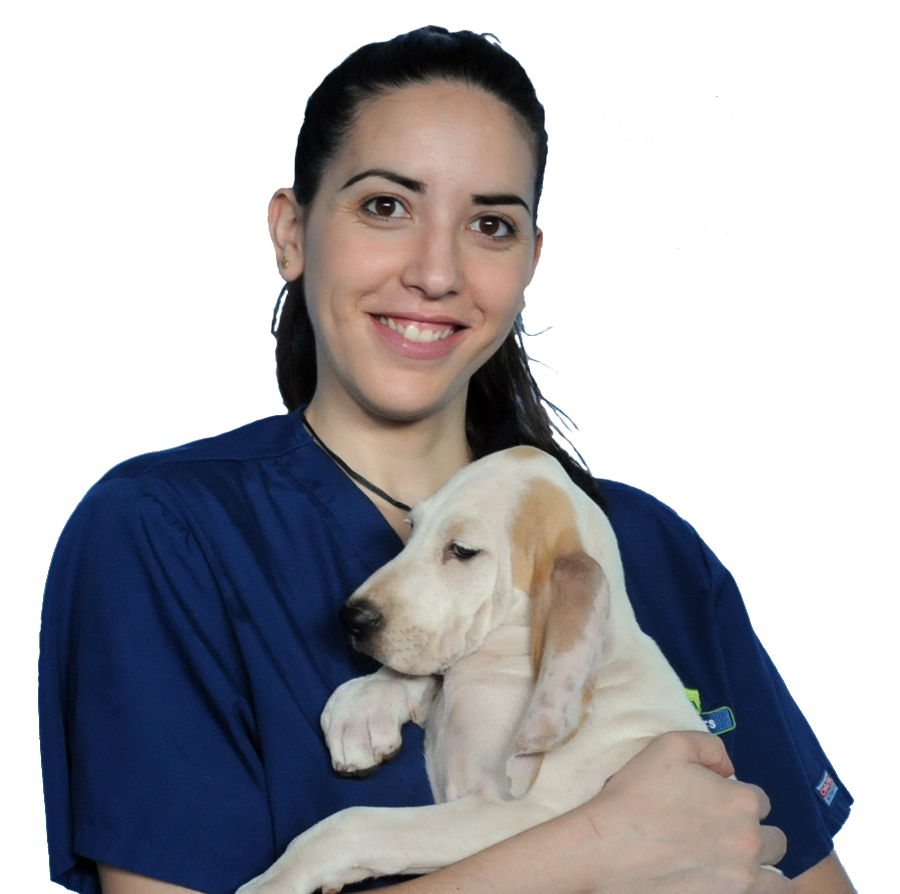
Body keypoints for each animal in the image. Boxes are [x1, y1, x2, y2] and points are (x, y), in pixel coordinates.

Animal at [237, 446, 721, 894]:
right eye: (411, 528)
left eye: (463, 551)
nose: (351, 618)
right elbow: (427, 673)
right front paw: (362, 710)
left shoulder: (514, 814)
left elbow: (354, 824)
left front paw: (274, 880)